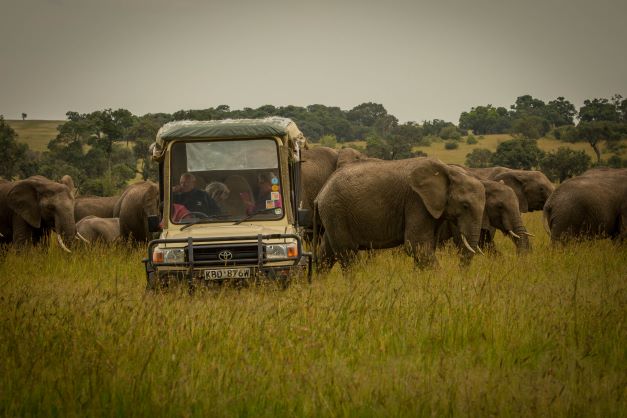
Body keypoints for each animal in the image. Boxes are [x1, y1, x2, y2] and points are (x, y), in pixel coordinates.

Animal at [316, 158, 488, 272]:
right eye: (465, 206)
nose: (460, 273)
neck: (448, 170)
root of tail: (321, 192)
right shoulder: (416, 201)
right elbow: (416, 244)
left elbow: (425, 247)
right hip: (336, 211)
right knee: (348, 254)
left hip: (333, 215)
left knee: (327, 252)